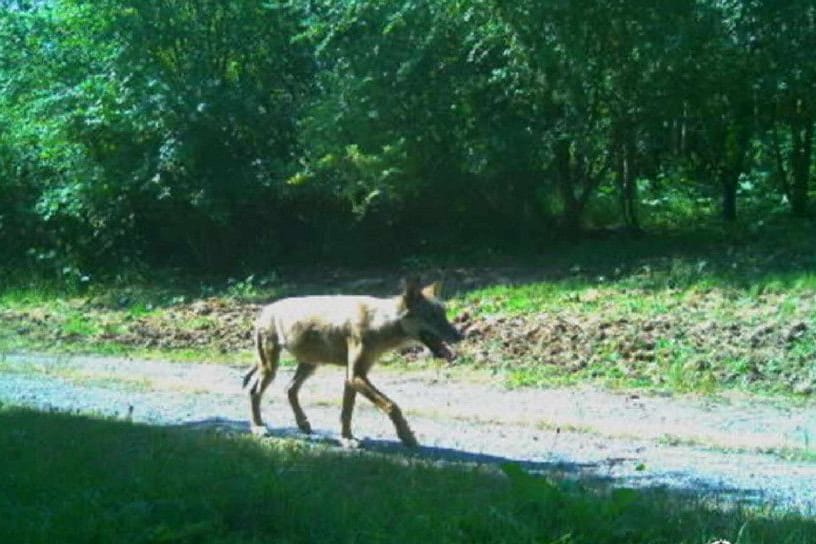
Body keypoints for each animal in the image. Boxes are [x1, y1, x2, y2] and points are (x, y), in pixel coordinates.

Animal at [242, 278, 462, 448]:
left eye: (444, 315)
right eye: (432, 316)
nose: (460, 335)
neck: (380, 323)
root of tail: (265, 309)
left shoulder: (352, 377)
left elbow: (347, 413)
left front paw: (346, 439)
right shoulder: (356, 375)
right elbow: (392, 406)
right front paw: (406, 436)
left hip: (310, 365)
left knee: (289, 389)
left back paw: (303, 424)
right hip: (271, 368)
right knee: (254, 391)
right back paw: (258, 427)